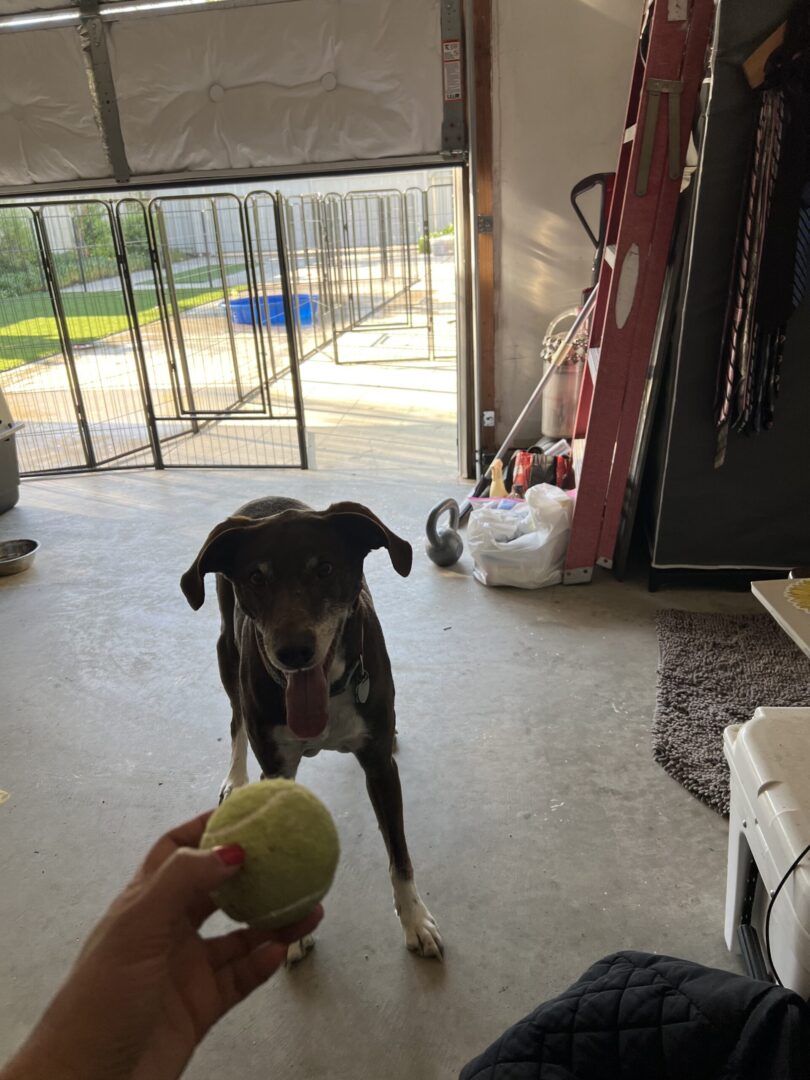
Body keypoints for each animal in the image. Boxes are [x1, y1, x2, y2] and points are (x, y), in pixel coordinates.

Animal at [182, 496, 444, 963]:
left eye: (324, 568)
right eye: (256, 577)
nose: (293, 652)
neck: (331, 690)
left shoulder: (379, 766)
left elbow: (399, 853)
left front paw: (415, 920)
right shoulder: (278, 770)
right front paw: (292, 932)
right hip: (227, 656)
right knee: (235, 720)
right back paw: (235, 778)